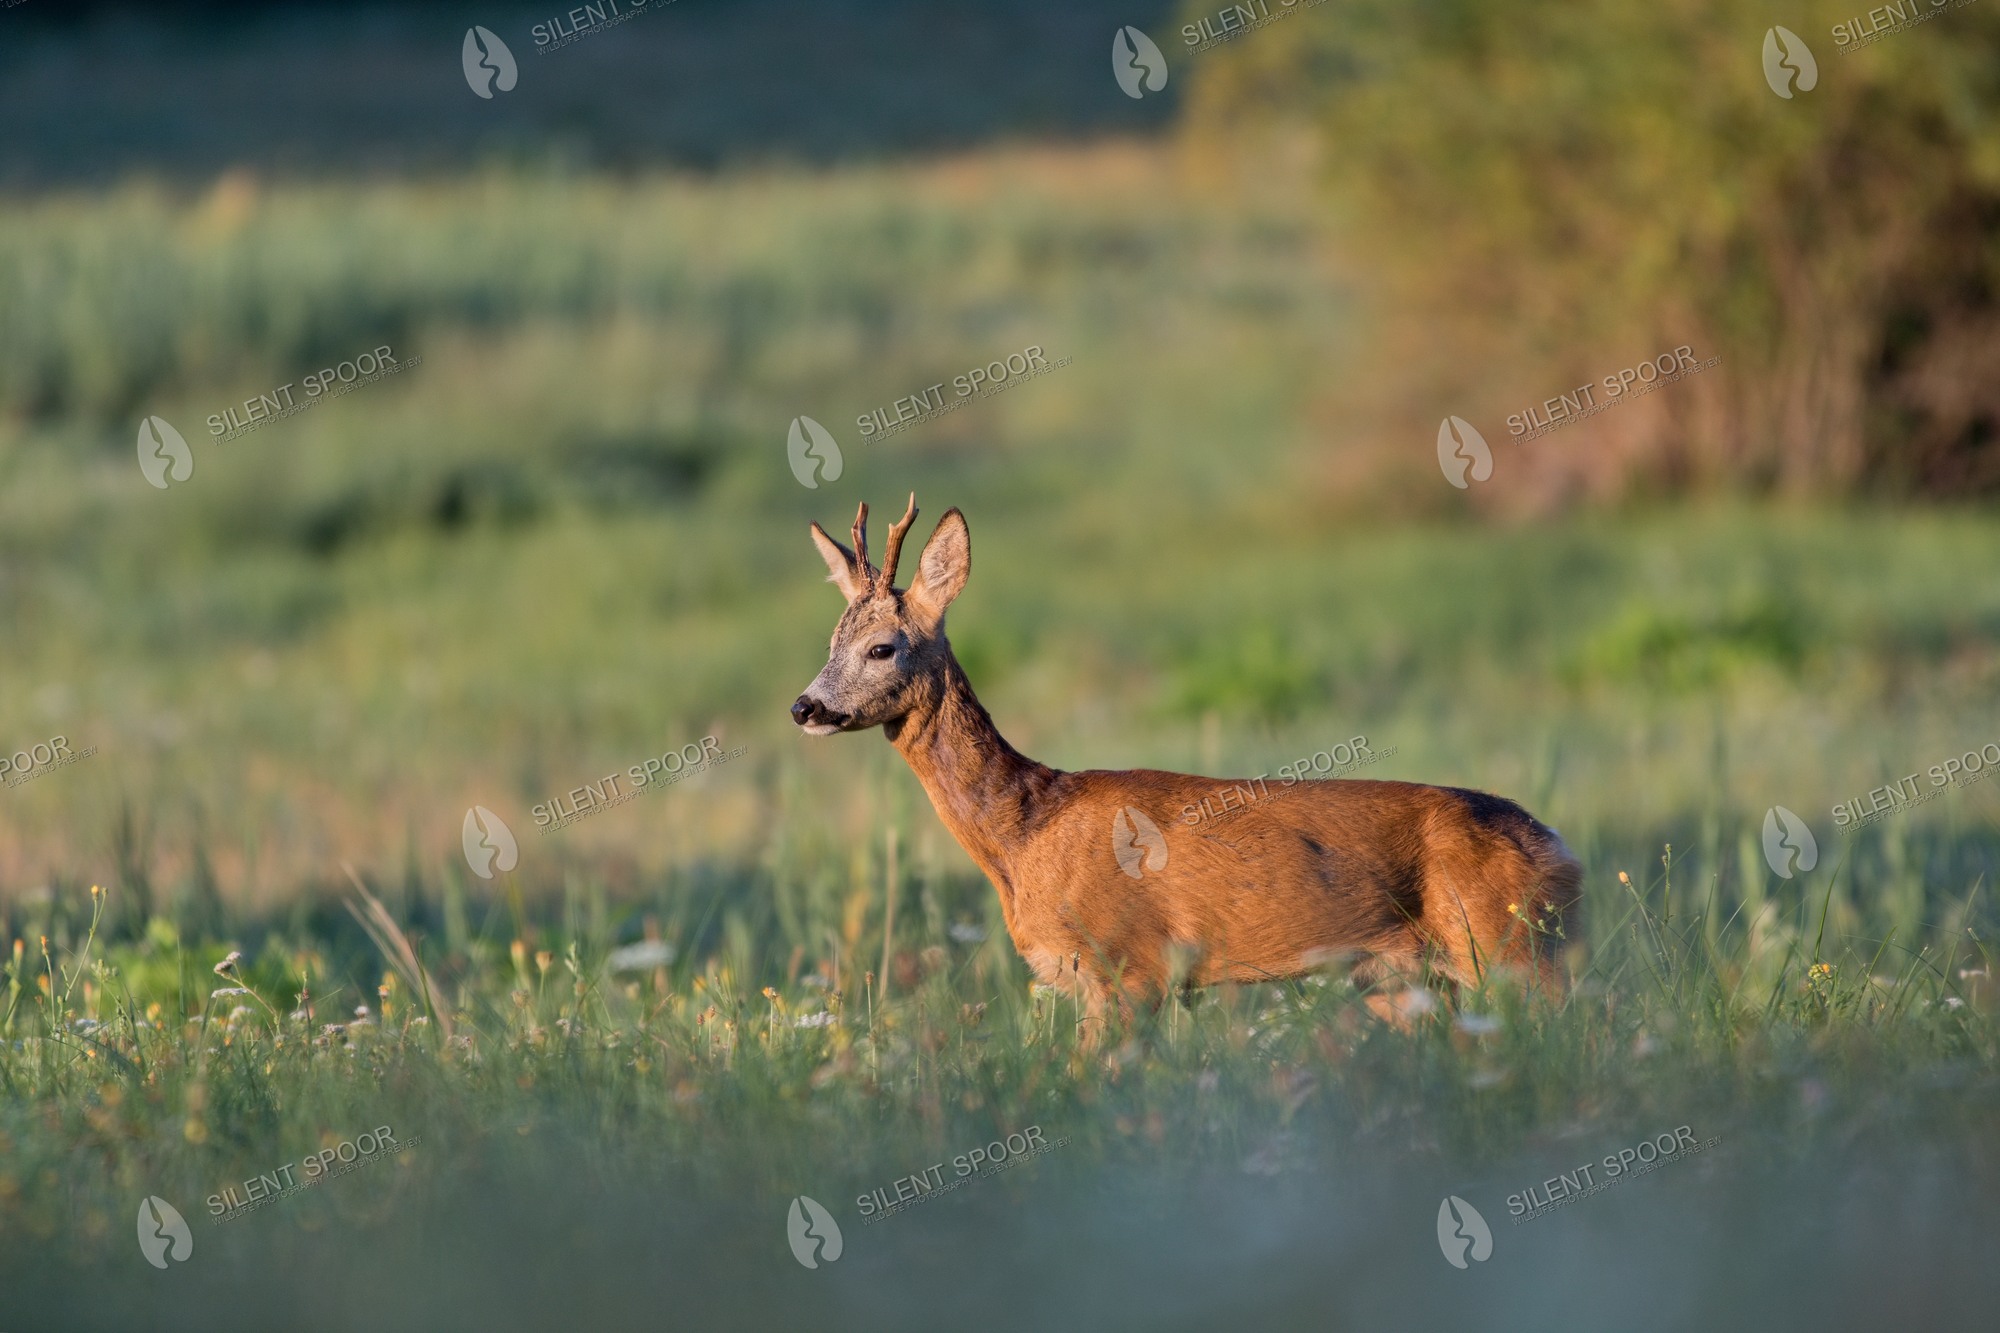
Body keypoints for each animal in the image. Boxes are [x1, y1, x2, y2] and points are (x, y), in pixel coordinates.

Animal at [791, 495, 1582, 1038]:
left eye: (882, 647)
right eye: (829, 642)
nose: (805, 706)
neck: (1025, 831)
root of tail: (1560, 847)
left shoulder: (1127, 969)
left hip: (1512, 946)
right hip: (1418, 976)